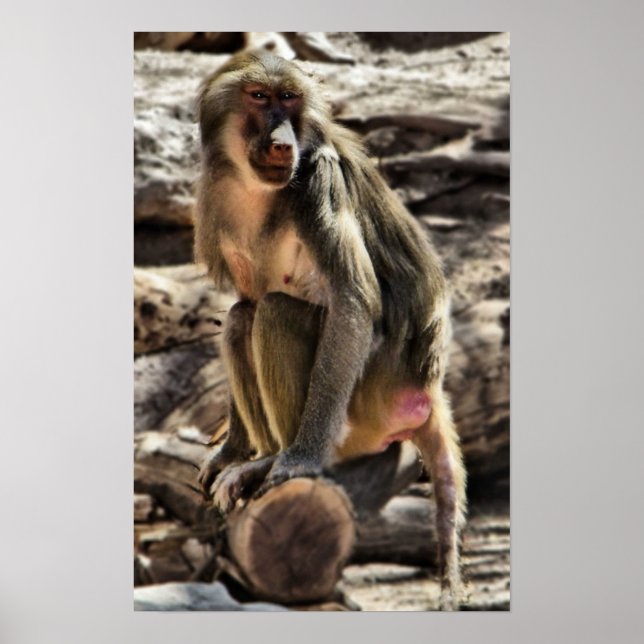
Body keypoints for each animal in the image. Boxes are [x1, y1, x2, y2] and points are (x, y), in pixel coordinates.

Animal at [194, 50, 466, 610]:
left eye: (288, 98)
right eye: (259, 98)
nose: (282, 141)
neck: (254, 187)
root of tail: (426, 385)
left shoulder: (320, 177)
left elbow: (353, 303)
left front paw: (299, 460)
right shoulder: (217, 198)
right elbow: (243, 300)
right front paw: (232, 449)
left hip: (369, 401)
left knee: (274, 313)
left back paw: (279, 460)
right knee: (245, 317)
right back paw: (258, 456)